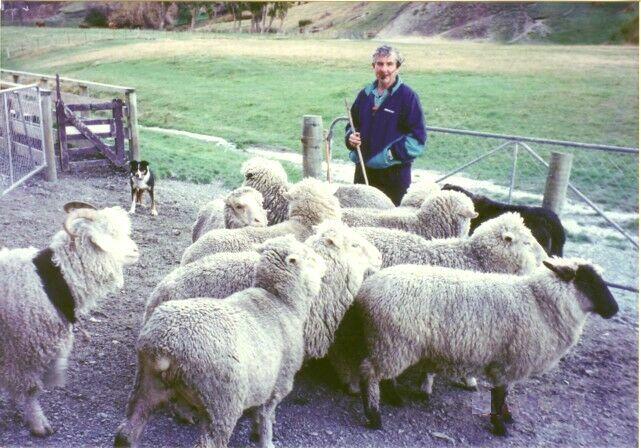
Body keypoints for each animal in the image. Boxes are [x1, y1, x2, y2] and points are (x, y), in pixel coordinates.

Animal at [0, 202, 139, 436]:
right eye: (111, 234)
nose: (137, 251)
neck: (51, 281)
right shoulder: (22, 351)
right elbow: (30, 390)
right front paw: (38, 423)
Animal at [114, 235, 326, 448]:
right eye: (309, 257)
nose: (324, 267)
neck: (280, 302)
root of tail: (164, 347)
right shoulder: (277, 385)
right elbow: (265, 419)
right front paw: (266, 440)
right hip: (221, 403)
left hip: (146, 384)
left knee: (127, 430)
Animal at [355, 258, 618, 435]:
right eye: (588, 281)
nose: (614, 310)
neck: (537, 302)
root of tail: (366, 289)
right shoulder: (508, 362)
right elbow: (499, 394)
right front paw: (499, 426)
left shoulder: (510, 362)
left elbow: (506, 393)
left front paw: (507, 417)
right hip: (392, 343)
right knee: (369, 373)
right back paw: (374, 416)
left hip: (391, 346)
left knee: (382, 375)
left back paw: (394, 399)